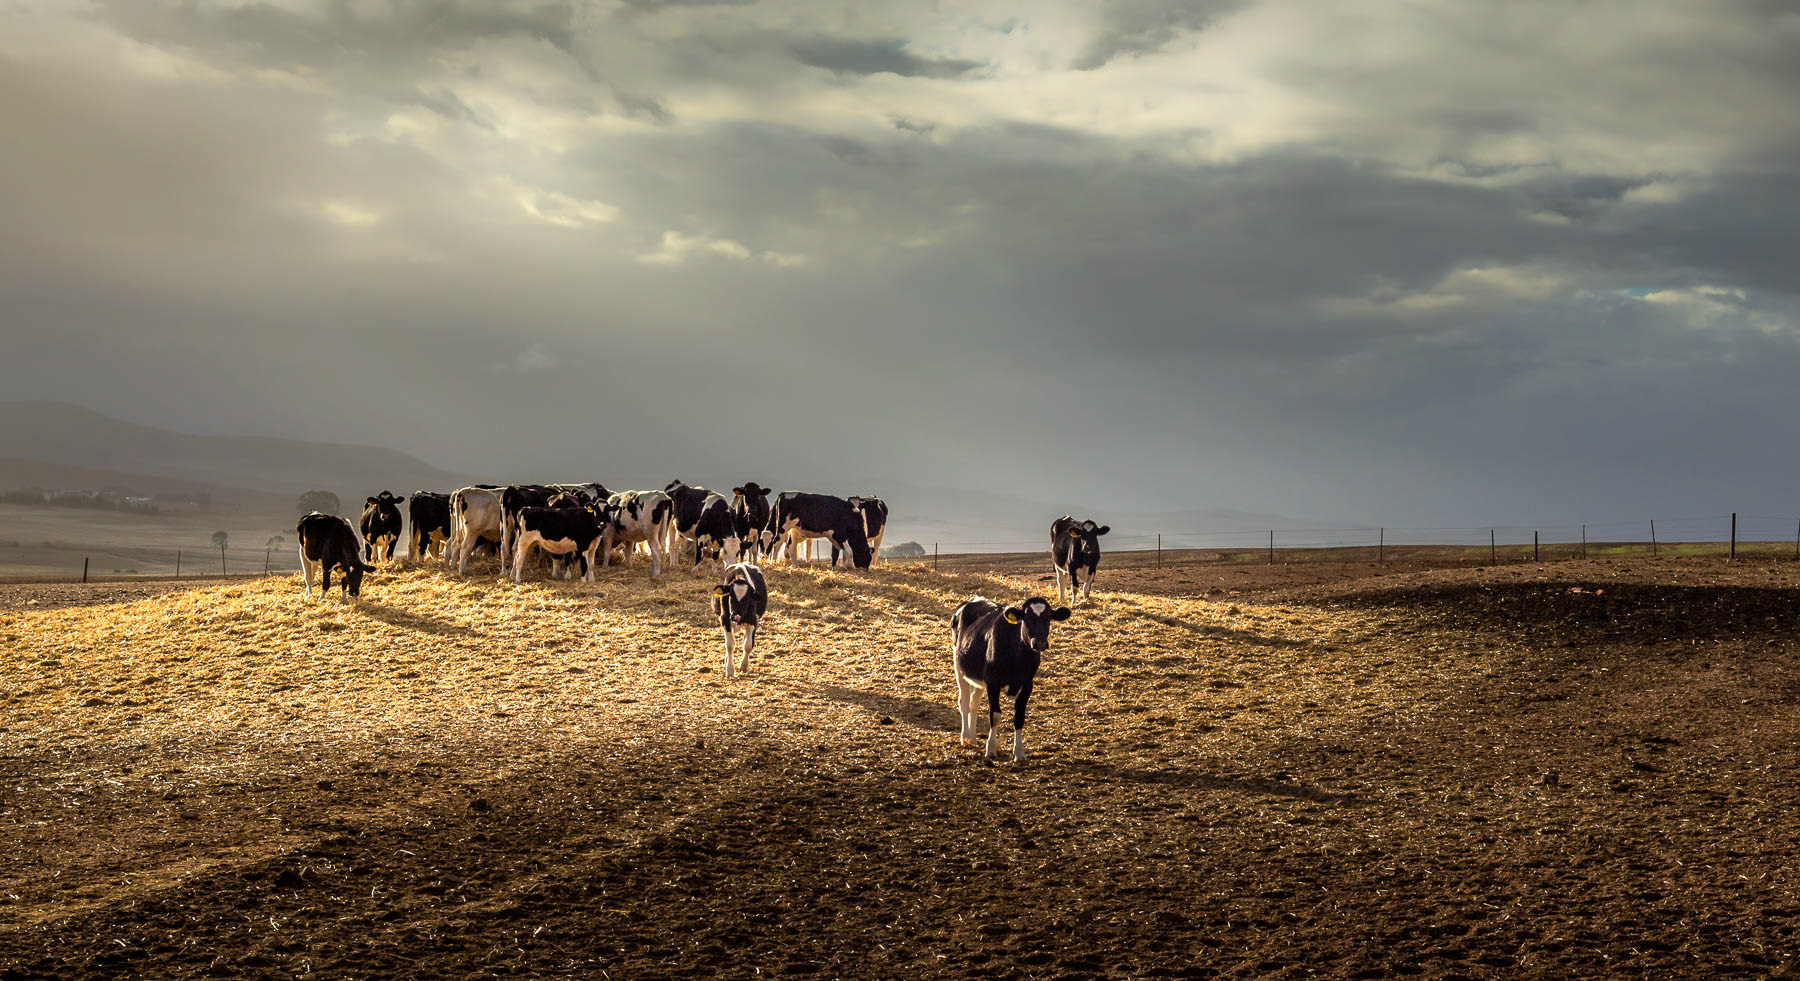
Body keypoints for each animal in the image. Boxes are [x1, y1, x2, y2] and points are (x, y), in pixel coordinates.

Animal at [951, 595, 1071, 762]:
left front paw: (1019, 753)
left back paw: (973, 739)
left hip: (977, 678)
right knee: (964, 703)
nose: (1040, 643)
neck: (1017, 656)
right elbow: (995, 715)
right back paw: (965, 737)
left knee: (974, 704)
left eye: (1048, 618)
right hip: (959, 666)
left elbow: (1019, 717)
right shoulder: (992, 682)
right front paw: (990, 749)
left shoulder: (1027, 685)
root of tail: (974, 599)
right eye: (1027, 618)